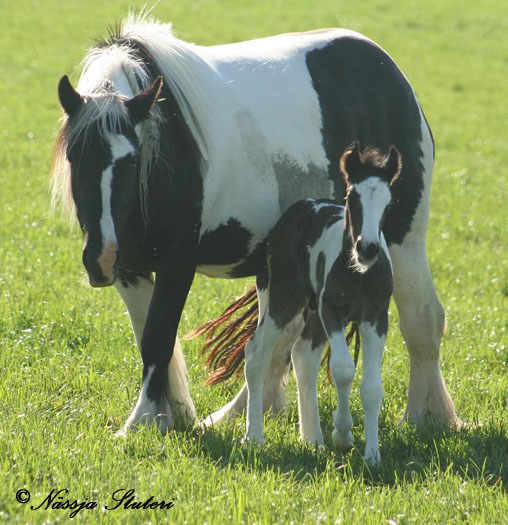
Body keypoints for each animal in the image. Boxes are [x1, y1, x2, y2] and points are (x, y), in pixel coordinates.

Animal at [242, 142, 400, 462]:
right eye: (351, 198)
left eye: (388, 204)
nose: (368, 248)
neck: (357, 273)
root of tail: (299, 207)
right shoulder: (332, 311)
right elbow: (342, 369)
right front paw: (342, 433)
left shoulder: (377, 317)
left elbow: (372, 387)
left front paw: (372, 455)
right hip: (282, 300)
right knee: (256, 354)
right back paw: (255, 437)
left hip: (311, 312)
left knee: (303, 354)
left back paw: (313, 439)